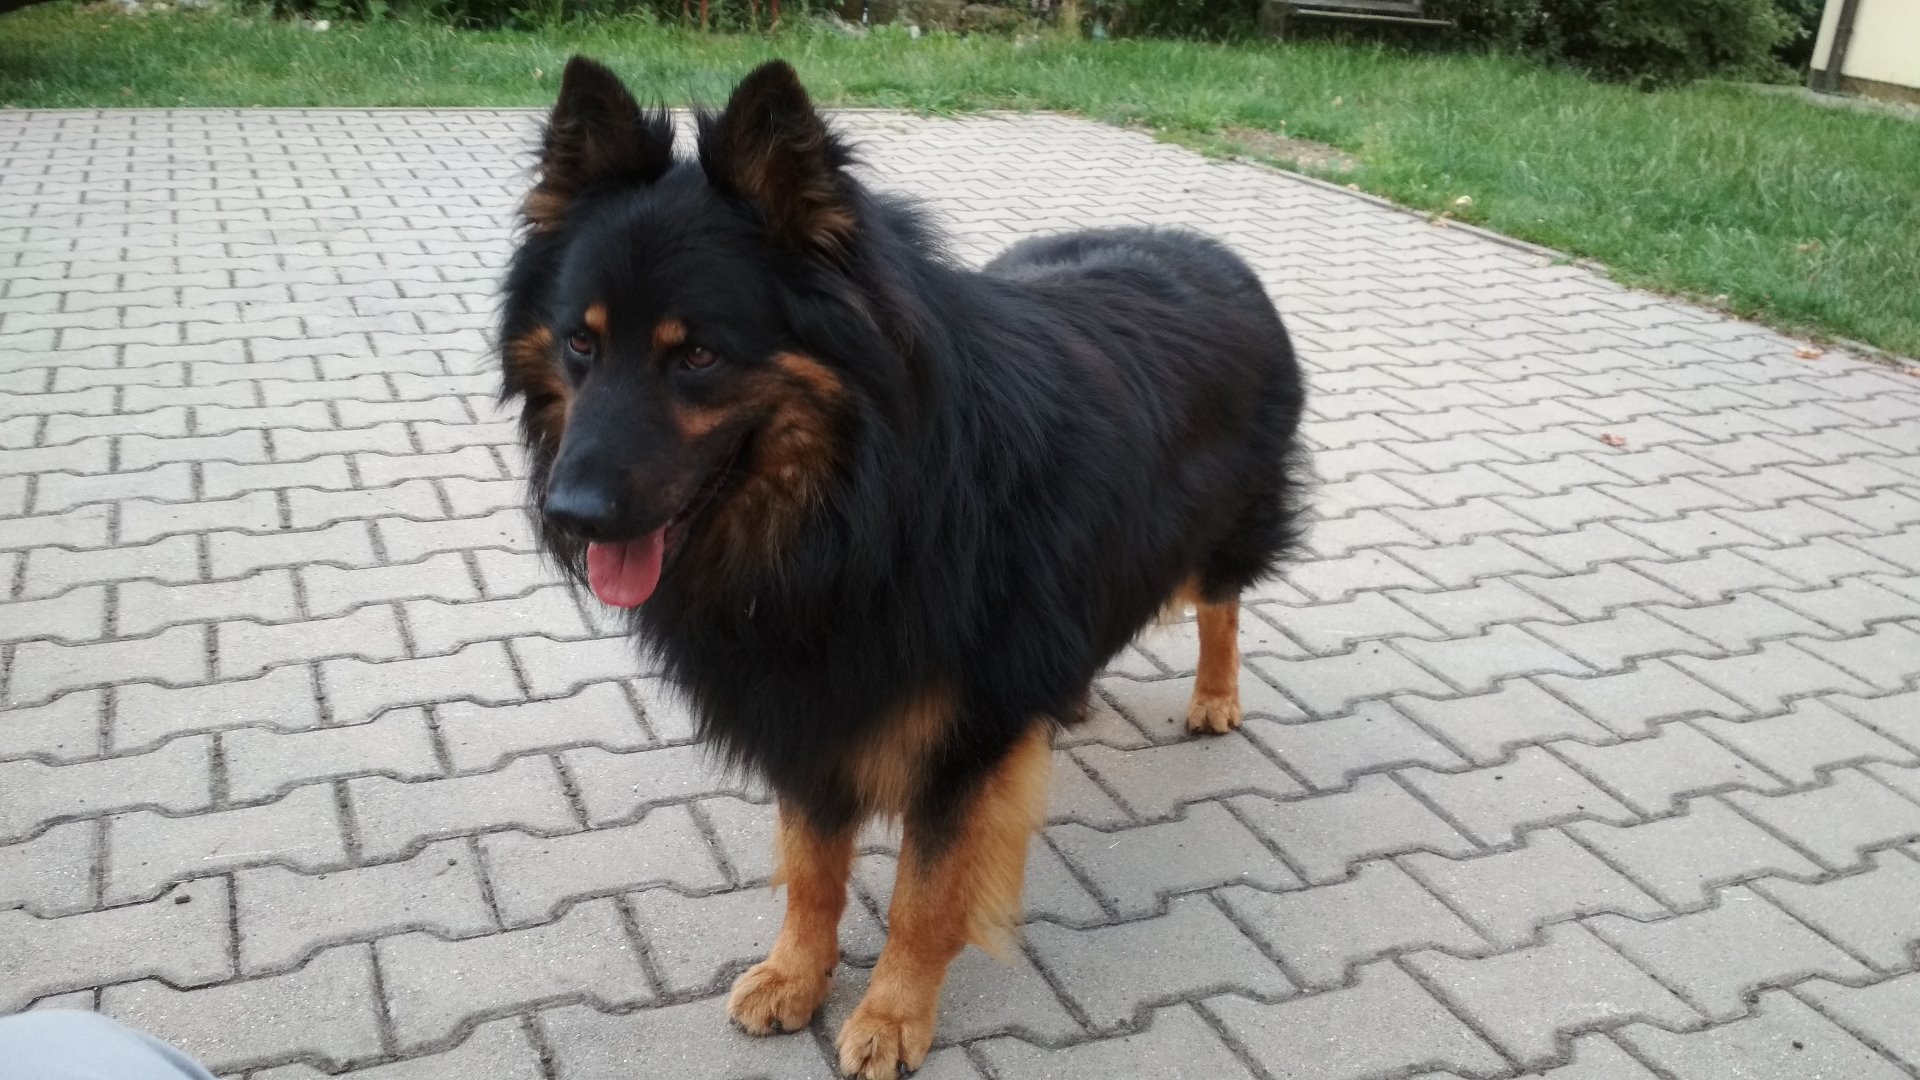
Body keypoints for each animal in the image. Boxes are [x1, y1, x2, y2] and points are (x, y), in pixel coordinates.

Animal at [499, 56, 1308, 1079]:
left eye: (699, 356)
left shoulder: (964, 735)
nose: (569, 514)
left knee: (1221, 603)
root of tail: (1217, 253)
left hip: (1218, 534)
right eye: (581, 341)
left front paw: (891, 1015)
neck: (862, 511)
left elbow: (927, 897)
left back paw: (1214, 696)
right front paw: (796, 974)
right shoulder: (807, 702)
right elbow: (812, 866)